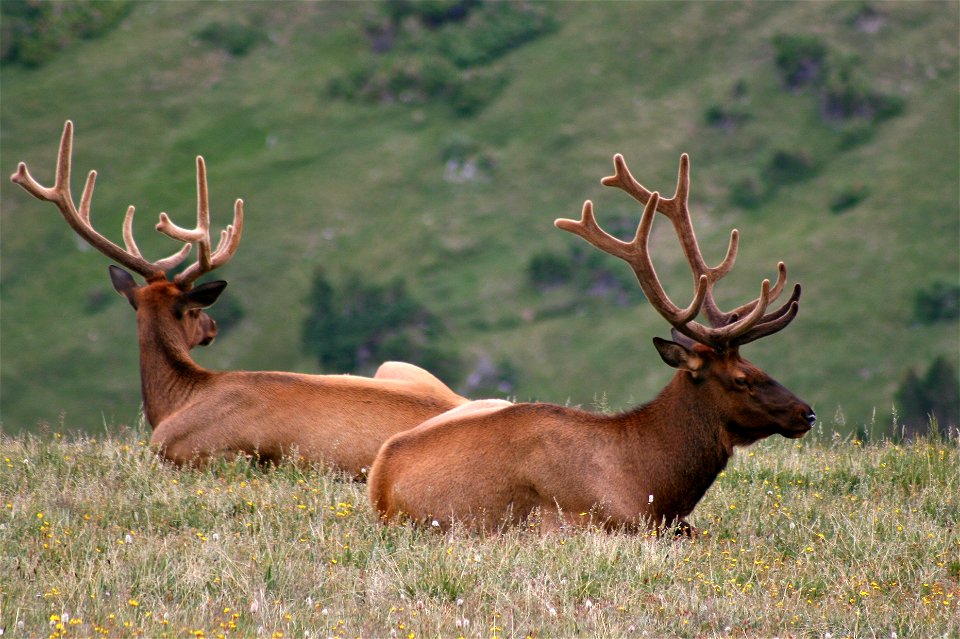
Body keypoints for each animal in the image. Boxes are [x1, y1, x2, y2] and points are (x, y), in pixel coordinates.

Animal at [370, 152, 816, 532]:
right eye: (742, 379)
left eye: (760, 367)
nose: (807, 413)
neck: (651, 483)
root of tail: (380, 481)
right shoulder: (586, 520)